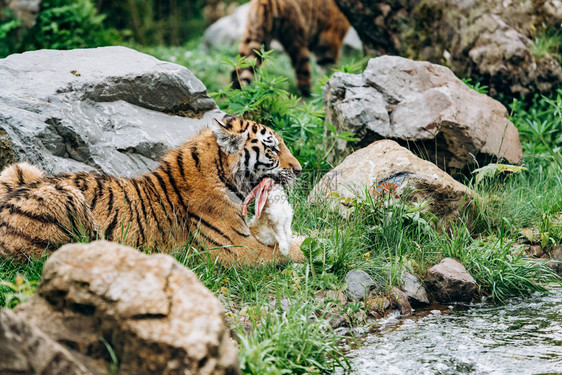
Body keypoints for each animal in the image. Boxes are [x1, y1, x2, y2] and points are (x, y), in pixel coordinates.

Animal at [0, 116, 304, 266]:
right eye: (272, 148)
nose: (300, 170)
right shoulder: (235, 248)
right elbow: (286, 252)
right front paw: (313, 250)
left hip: (19, 169)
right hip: (65, 196)